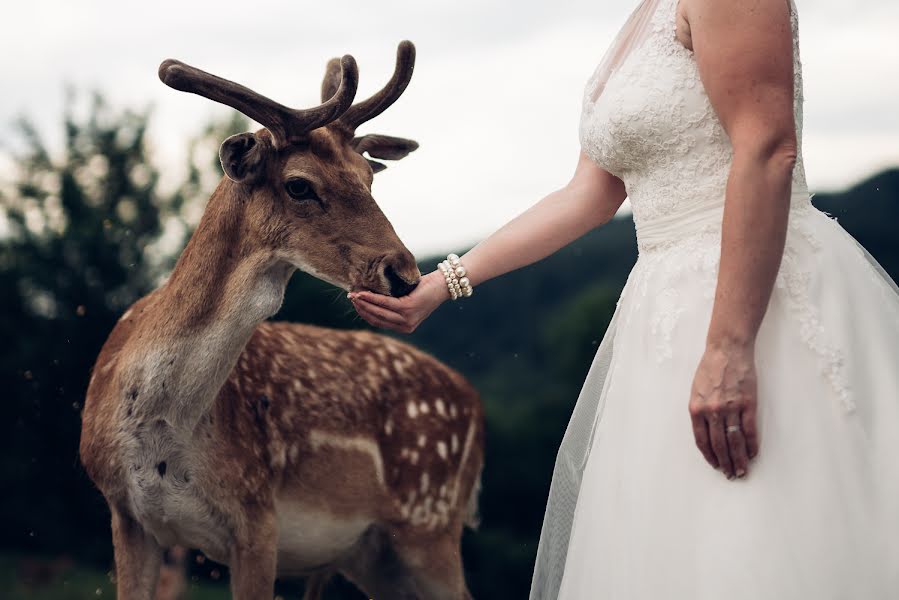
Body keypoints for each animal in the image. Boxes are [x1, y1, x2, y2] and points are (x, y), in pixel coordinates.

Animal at [77, 39, 486, 596]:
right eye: (299, 185)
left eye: (367, 179)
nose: (403, 273)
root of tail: (476, 408)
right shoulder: (127, 514)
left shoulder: (258, 515)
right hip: (377, 556)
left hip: (431, 524)